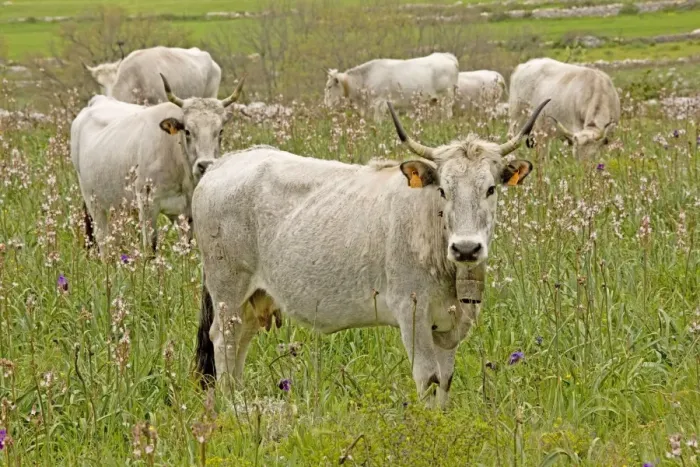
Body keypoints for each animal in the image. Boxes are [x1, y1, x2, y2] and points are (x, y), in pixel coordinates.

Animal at [70, 74, 244, 255]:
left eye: (220, 131)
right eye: (187, 131)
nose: (205, 165)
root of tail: (97, 101)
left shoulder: (187, 213)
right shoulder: (148, 205)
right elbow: (150, 248)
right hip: (93, 202)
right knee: (103, 240)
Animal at [192, 97, 550, 408]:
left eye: (490, 189)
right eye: (443, 190)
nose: (465, 248)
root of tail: (223, 164)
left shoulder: (451, 325)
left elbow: (445, 380)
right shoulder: (412, 314)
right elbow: (428, 379)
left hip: (253, 299)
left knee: (240, 341)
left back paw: (239, 398)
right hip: (228, 290)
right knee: (223, 340)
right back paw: (230, 404)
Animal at [324, 53, 459, 121]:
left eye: (329, 87)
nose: (326, 105)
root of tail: (446, 56)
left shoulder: (379, 103)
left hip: (447, 98)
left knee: (448, 114)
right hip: (435, 100)